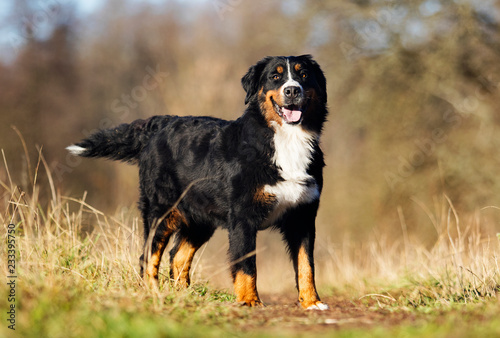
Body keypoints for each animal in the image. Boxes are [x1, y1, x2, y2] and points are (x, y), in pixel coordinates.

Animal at [68, 54, 330, 310]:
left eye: (303, 75)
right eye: (275, 76)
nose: (292, 90)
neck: (288, 140)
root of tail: (160, 123)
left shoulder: (303, 217)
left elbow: (306, 265)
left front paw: (312, 302)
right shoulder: (243, 218)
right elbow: (247, 265)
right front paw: (249, 301)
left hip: (199, 219)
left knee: (178, 257)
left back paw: (184, 295)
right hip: (161, 211)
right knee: (149, 257)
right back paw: (153, 294)